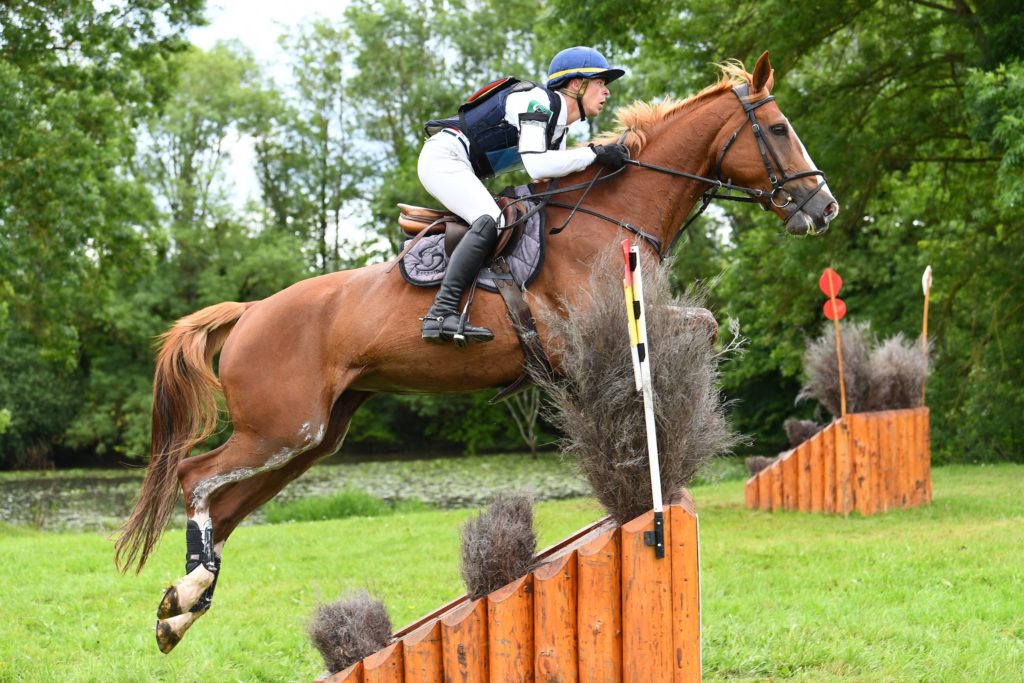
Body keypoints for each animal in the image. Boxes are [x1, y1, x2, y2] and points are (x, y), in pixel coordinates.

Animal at [117, 52, 839, 651]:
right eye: (778, 129)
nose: (823, 207)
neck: (610, 215)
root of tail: (250, 312)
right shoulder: (586, 339)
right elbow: (691, 333)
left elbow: (703, 328)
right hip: (281, 428)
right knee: (195, 477)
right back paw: (187, 594)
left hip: (313, 436)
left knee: (225, 504)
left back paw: (181, 607)